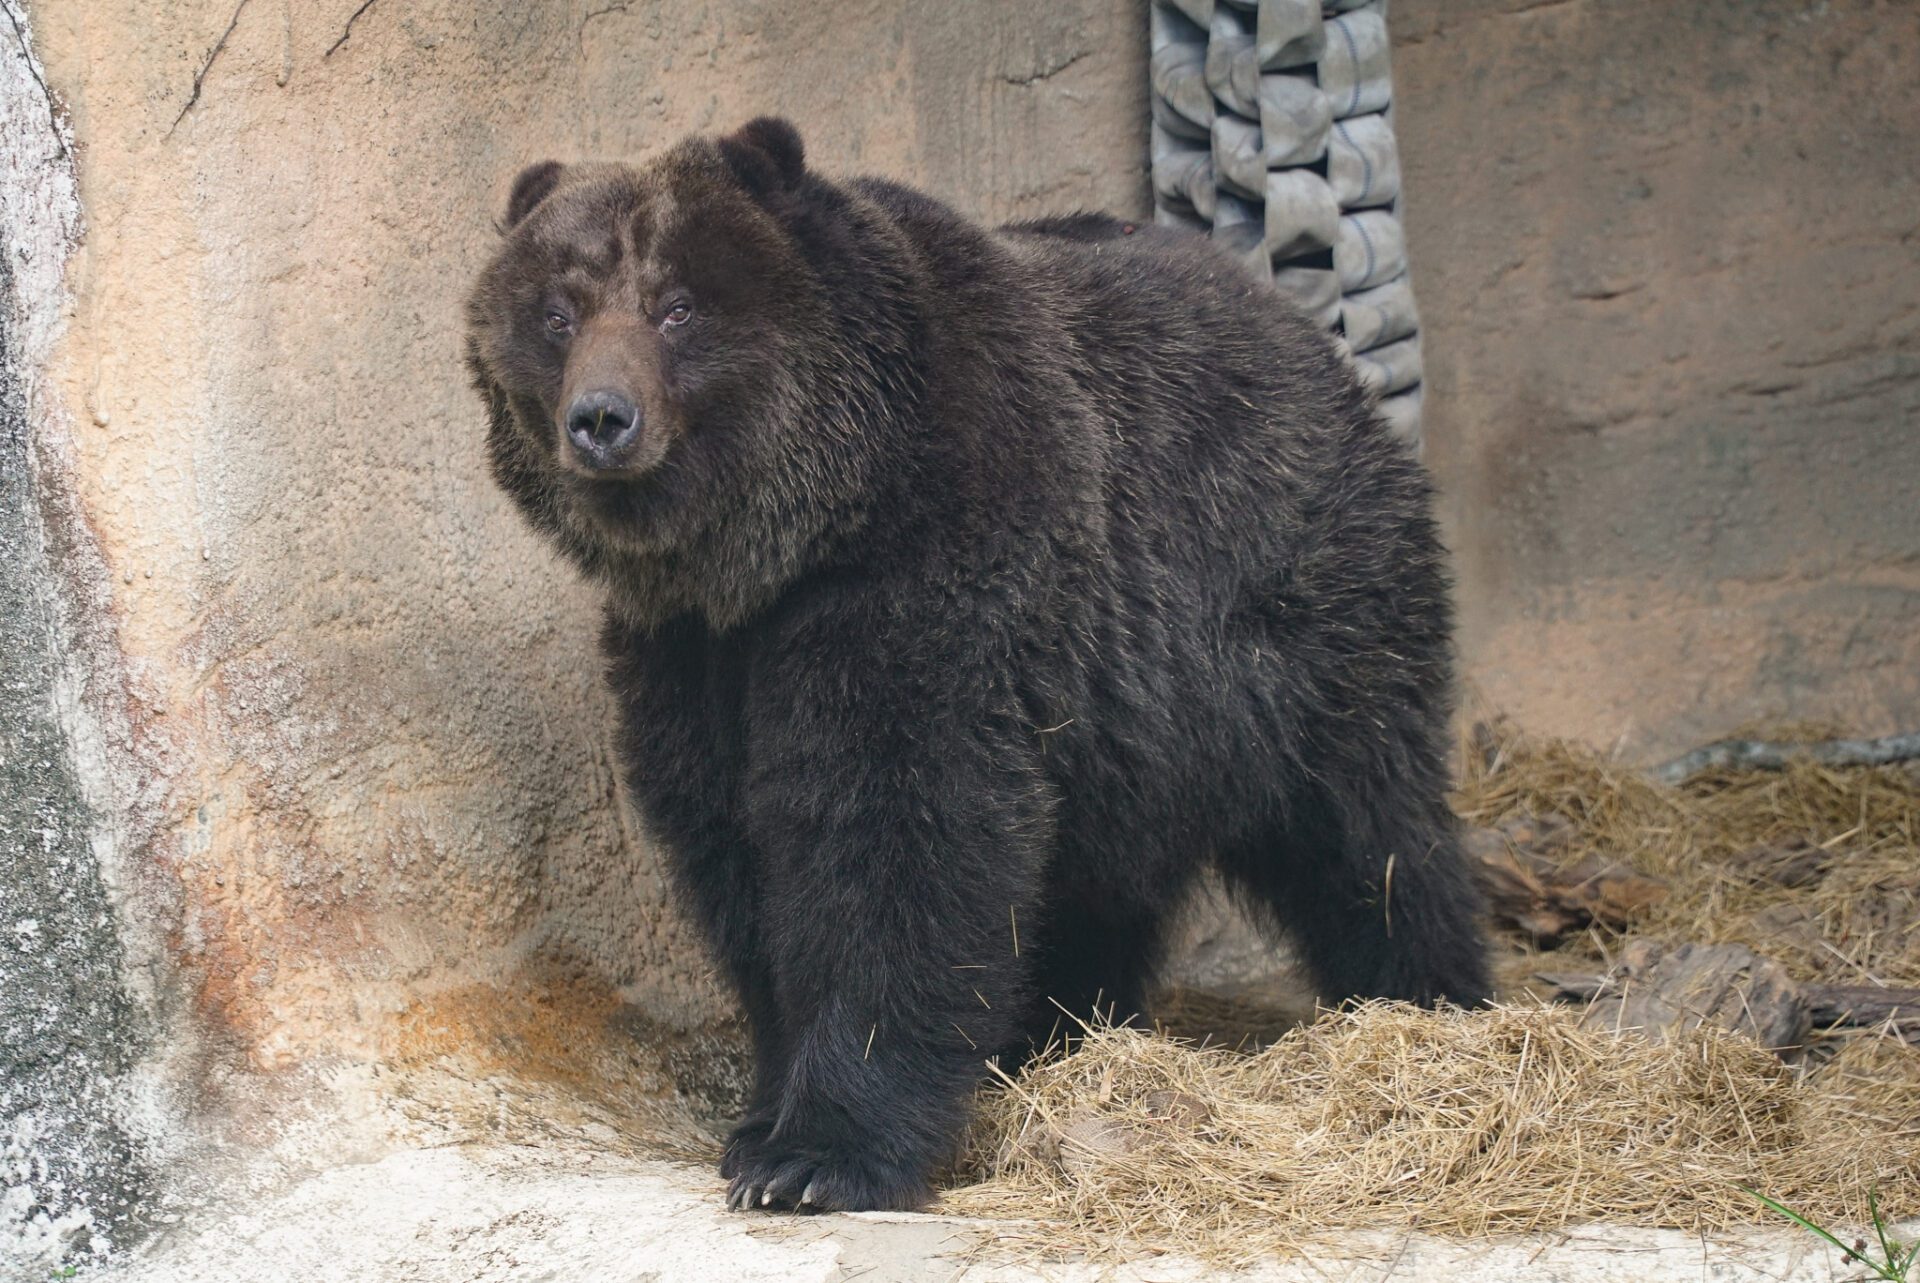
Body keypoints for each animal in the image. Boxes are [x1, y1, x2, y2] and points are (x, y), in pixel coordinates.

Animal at [464, 117, 1489, 1214]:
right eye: (558, 311)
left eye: (677, 304)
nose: (601, 418)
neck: (790, 541)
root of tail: (1306, 336)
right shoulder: (693, 657)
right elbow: (738, 854)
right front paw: (761, 1118)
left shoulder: (938, 575)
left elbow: (898, 834)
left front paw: (818, 1153)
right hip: (1135, 723)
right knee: (1101, 878)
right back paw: (1059, 1032)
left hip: (1295, 611)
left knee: (1367, 826)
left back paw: (1431, 999)